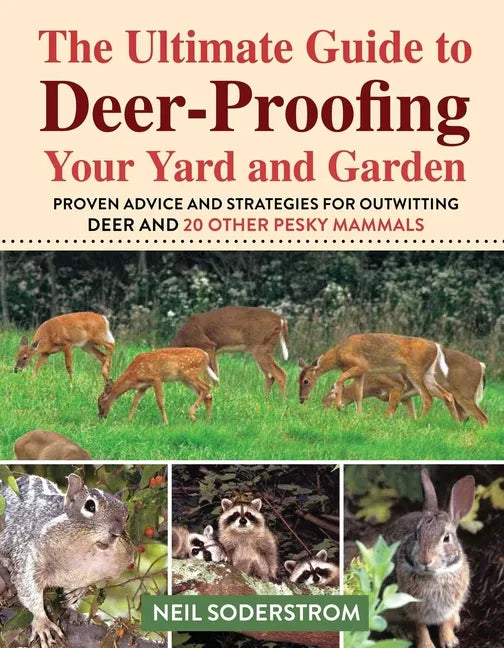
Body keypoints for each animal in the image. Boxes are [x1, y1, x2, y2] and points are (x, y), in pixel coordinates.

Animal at [298, 333, 459, 421]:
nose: (301, 399)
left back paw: (420, 421)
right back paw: (456, 423)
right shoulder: (360, 373)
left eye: (306, 381)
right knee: (447, 395)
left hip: (414, 371)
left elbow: (339, 380)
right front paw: (359, 415)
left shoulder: (360, 366)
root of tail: (437, 347)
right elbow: (358, 395)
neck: (339, 355)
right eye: (297, 380)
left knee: (428, 398)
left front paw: (339, 406)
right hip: (428, 376)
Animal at [321, 348, 488, 425]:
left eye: (330, 394)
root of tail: (481, 366)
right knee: (465, 414)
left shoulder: (397, 386)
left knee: (482, 417)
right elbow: (410, 414)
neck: (372, 385)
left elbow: (389, 412)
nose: (322, 405)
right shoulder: (406, 397)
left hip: (464, 394)